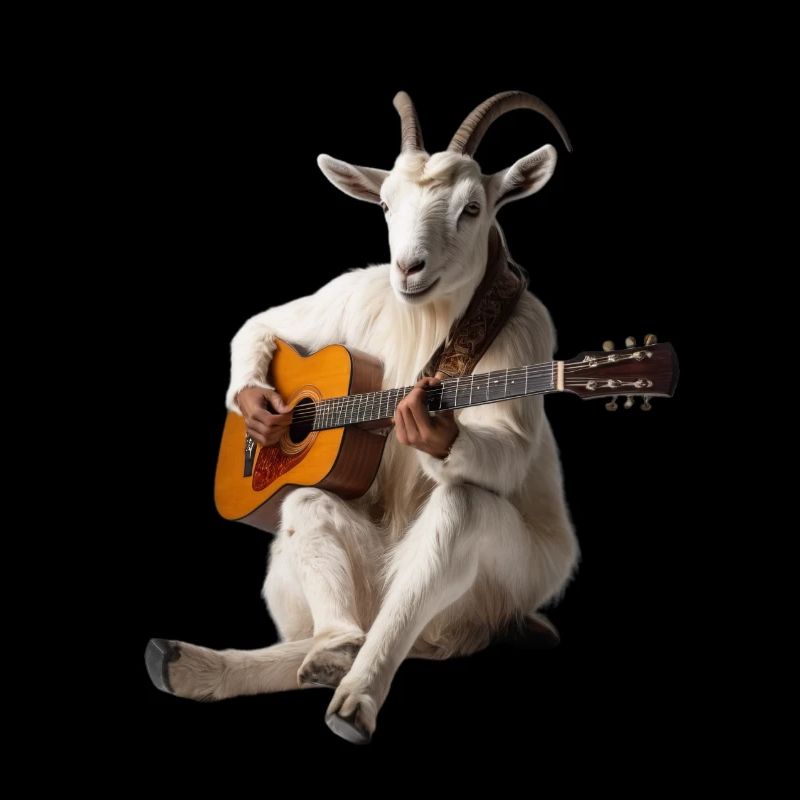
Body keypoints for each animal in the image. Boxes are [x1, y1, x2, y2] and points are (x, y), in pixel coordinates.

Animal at [146, 91, 579, 744]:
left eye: (471, 208)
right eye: (384, 205)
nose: (407, 268)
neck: (429, 315)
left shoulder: (532, 332)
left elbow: (505, 447)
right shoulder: (344, 293)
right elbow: (260, 323)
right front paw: (261, 416)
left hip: (500, 593)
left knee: (459, 510)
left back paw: (354, 697)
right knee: (307, 506)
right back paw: (271, 656)